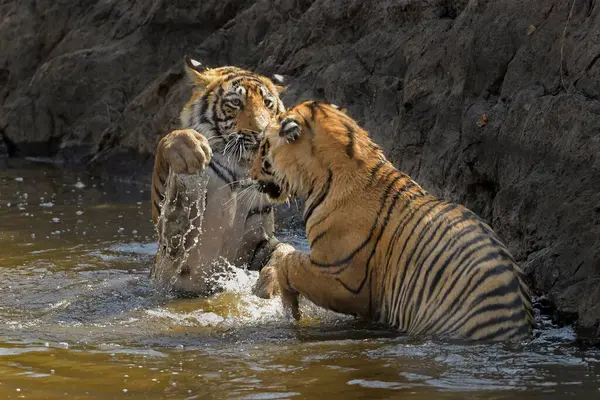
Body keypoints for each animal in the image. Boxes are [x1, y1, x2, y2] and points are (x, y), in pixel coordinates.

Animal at [150, 54, 296, 296]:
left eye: (267, 103)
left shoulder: (260, 239)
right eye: (236, 103)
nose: (263, 132)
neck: (240, 166)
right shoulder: (168, 249)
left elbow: (285, 248)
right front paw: (189, 149)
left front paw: (270, 286)